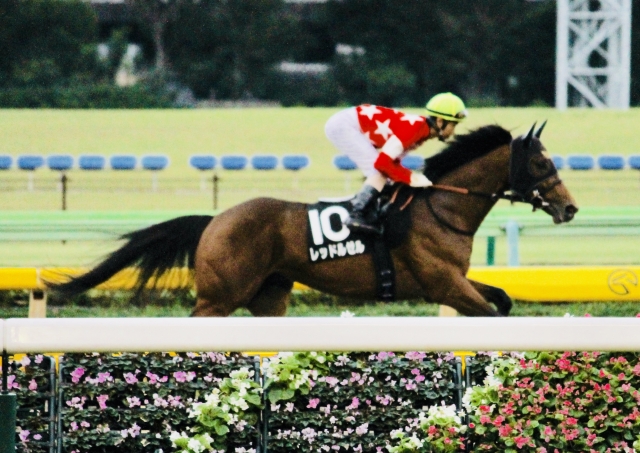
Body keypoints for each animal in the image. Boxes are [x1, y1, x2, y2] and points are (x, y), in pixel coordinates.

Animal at [50, 122, 576, 316]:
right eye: (541, 164)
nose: (570, 207)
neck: (440, 208)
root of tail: (215, 220)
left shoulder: (453, 280)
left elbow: (502, 300)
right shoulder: (442, 283)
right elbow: (489, 311)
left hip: (269, 296)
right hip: (219, 297)